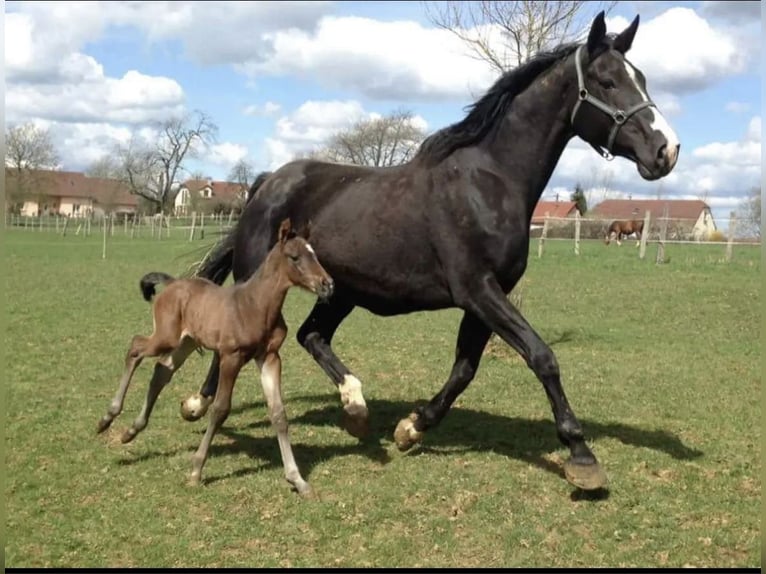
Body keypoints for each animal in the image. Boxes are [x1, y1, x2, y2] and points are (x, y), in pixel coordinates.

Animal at [96, 218, 332, 498]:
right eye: (294, 257)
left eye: (315, 254)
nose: (328, 284)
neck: (256, 305)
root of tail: (172, 283)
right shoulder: (231, 357)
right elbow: (220, 409)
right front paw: (196, 470)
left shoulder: (270, 357)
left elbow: (278, 414)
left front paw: (298, 479)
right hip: (166, 337)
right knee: (135, 348)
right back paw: (107, 419)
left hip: (186, 341)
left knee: (161, 370)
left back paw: (131, 430)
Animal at [182, 11, 684, 492]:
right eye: (607, 81)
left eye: (642, 78)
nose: (668, 150)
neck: (488, 181)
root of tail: (268, 182)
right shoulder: (478, 290)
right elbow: (542, 357)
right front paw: (582, 457)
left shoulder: (487, 296)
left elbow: (464, 369)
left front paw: (412, 428)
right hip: (264, 279)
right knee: (241, 338)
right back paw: (197, 403)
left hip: (341, 290)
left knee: (313, 336)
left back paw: (355, 405)